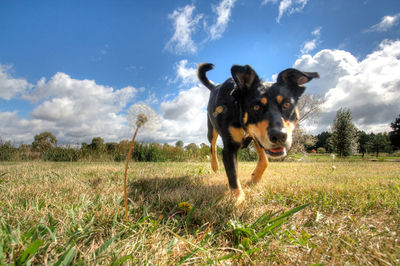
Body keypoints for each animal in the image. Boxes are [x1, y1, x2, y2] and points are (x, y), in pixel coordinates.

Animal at [197, 63, 318, 205]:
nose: (279, 136)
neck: (237, 107)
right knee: (213, 146)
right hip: (211, 130)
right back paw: (215, 166)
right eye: (256, 107)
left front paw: (254, 179)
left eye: (287, 104)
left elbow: (264, 161)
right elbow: (233, 174)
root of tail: (215, 87)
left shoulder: (257, 137)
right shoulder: (229, 147)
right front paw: (238, 199)